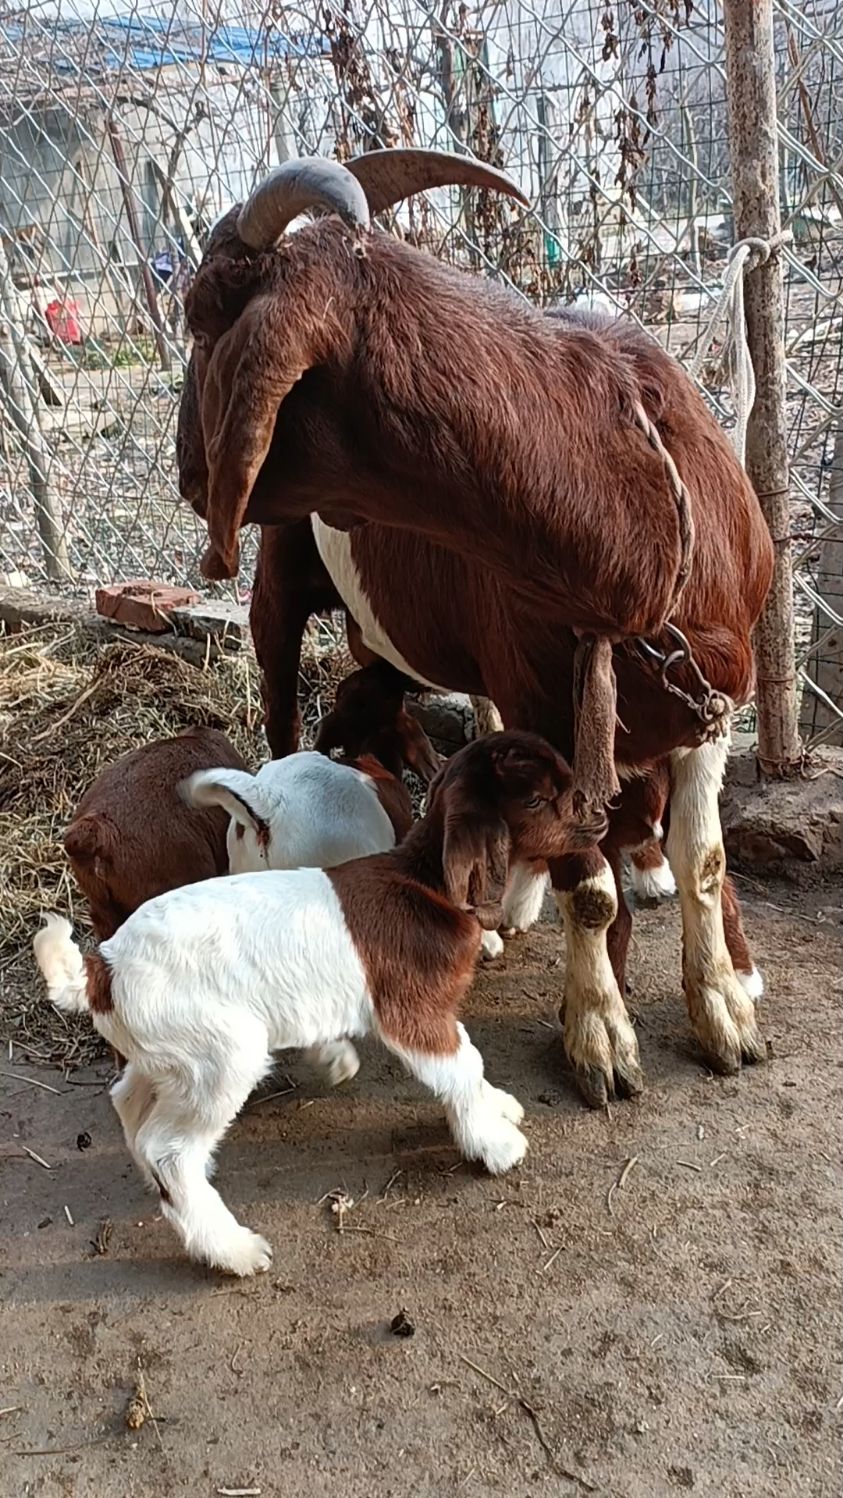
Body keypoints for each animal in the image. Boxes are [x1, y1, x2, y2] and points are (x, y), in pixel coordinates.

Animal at [176, 149, 772, 1114]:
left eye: (200, 316)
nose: (187, 470)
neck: (635, 542)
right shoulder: (553, 711)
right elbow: (590, 891)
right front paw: (599, 1039)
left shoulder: (712, 700)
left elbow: (707, 858)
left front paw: (723, 1011)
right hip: (280, 586)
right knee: (278, 705)